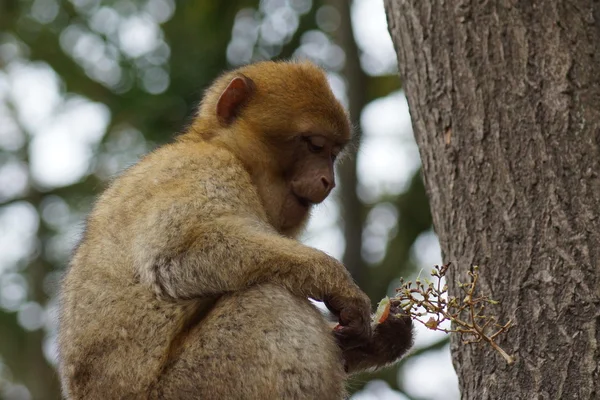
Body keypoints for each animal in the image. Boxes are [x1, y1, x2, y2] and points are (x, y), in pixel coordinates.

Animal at [58, 60, 412, 400]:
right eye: (314, 146)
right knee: (269, 298)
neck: (225, 149)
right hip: (196, 385)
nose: (329, 181)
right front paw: (336, 281)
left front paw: (381, 340)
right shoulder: (207, 168)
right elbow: (177, 254)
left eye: (332, 154)